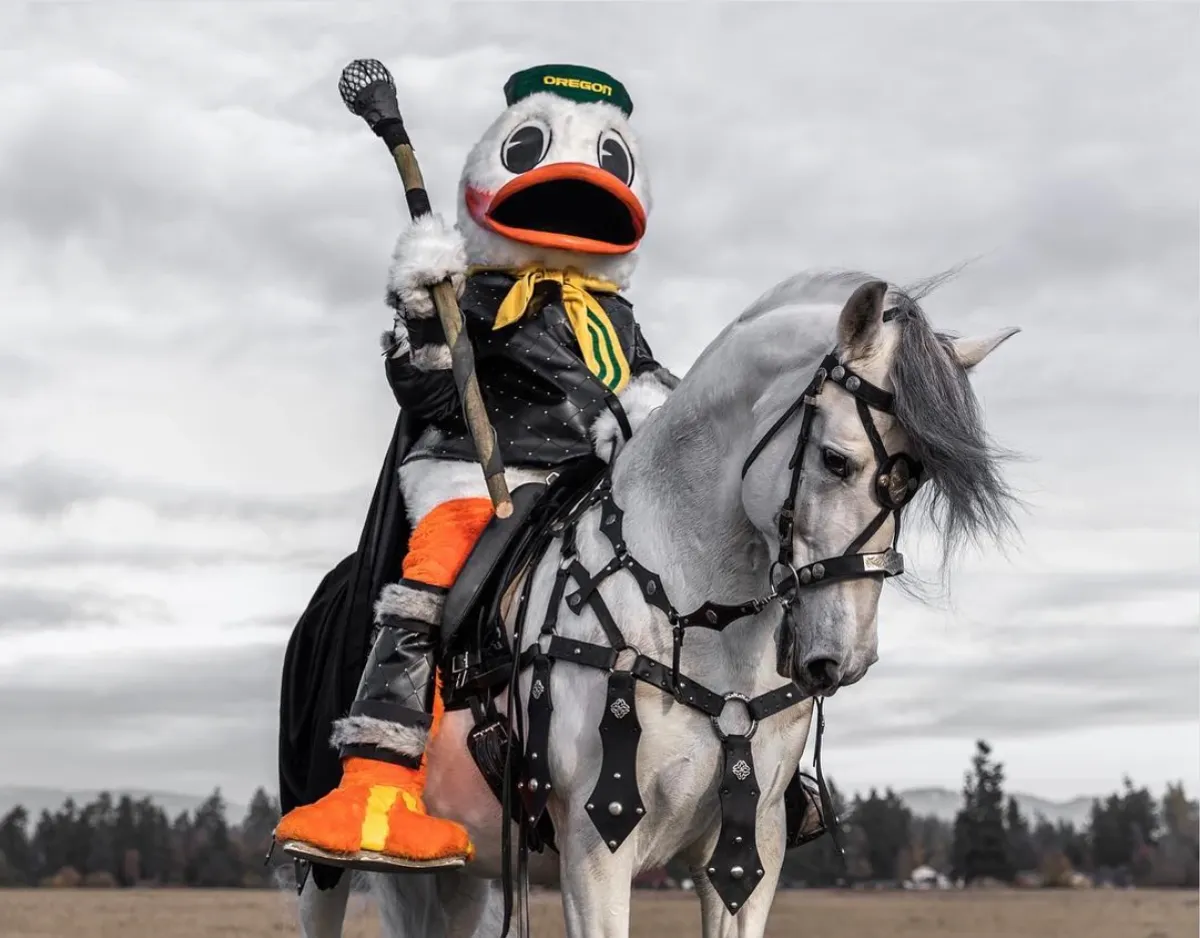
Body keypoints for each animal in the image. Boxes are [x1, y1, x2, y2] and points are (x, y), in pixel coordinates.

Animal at [294, 270, 1019, 938]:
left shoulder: (748, 851)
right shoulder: (597, 847)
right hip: (329, 870)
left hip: (460, 872)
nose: (845, 656)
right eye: (836, 460)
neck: (697, 620)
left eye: (913, 481)